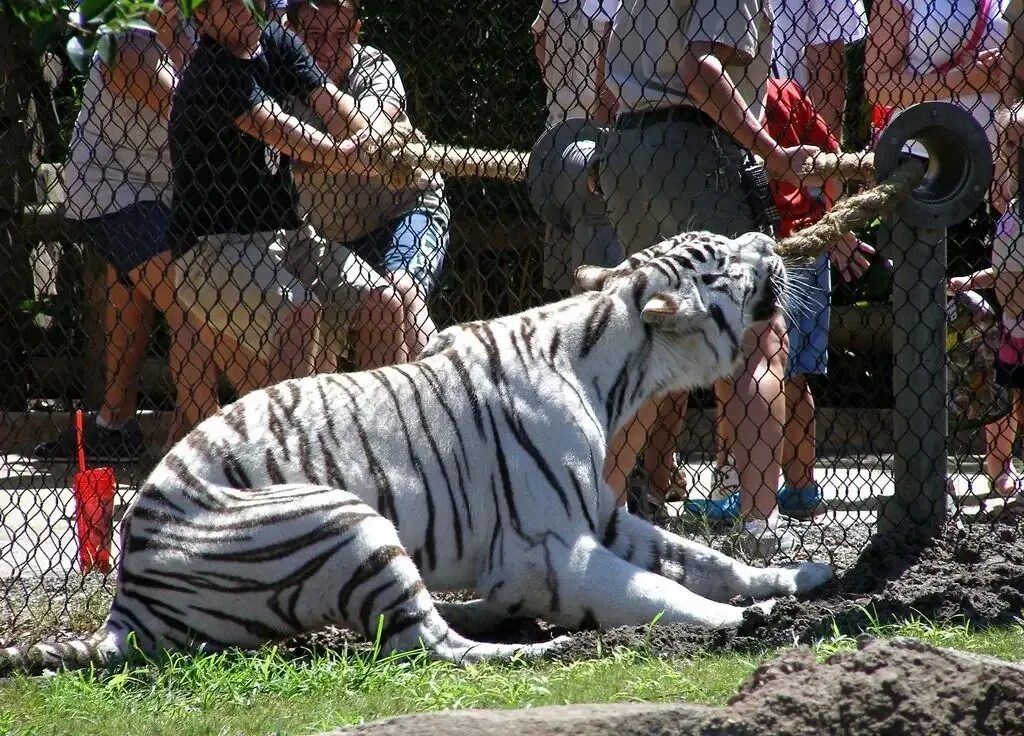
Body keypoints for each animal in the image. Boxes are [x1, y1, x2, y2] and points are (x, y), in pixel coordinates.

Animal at [0, 230, 831, 675]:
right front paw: (740, 620)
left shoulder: (599, 513)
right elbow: (660, 589)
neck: (618, 370)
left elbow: (702, 557)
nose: (771, 239)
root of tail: (127, 596)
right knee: (427, 643)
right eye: (725, 257)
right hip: (343, 516)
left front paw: (793, 576)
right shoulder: (551, 549)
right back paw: (538, 646)